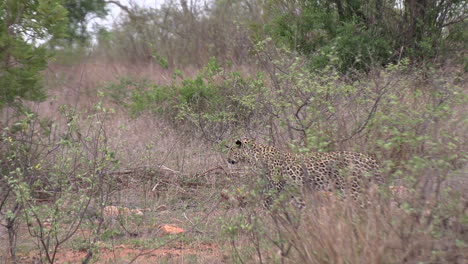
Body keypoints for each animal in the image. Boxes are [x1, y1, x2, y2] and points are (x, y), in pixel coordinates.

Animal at [227, 139, 384, 205]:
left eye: (231, 150)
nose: (227, 159)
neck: (254, 157)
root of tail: (370, 159)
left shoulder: (274, 189)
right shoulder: (293, 192)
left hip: (354, 190)